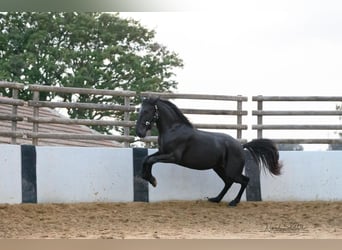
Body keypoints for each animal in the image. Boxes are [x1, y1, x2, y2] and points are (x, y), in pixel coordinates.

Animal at [136, 96, 284, 206]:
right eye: (140, 110)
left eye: (147, 111)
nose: (139, 132)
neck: (174, 129)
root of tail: (241, 146)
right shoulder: (162, 152)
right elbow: (146, 159)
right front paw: (148, 178)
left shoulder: (173, 157)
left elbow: (150, 160)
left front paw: (152, 180)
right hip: (219, 168)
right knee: (228, 182)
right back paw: (216, 199)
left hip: (231, 170)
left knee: (244, 180)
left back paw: (233, 202)